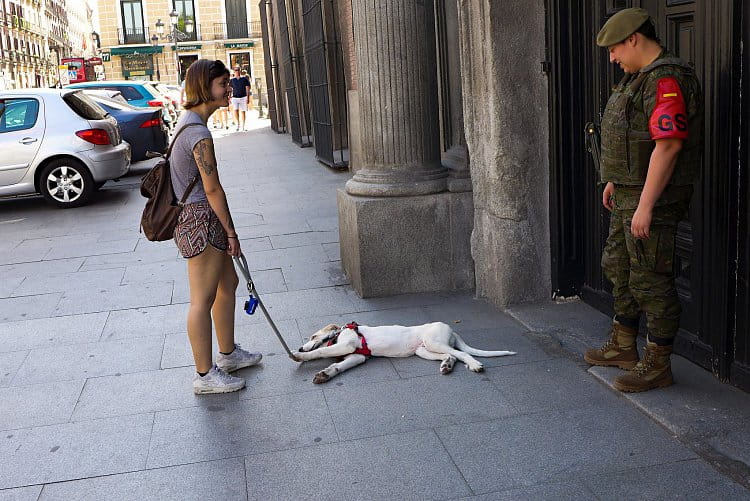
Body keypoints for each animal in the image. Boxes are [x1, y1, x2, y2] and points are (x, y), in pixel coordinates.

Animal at [290, 320, 516, 382]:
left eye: (312, 337)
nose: (300, 346)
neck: (339, 334)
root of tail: (452, 329)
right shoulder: (356, 357)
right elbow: (339, 366)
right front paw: (326, 374)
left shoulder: (348, 345)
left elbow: (319, 353)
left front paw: (300, 355)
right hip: (423, 351)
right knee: (451, 355)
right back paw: (447, 365)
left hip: (433, 342)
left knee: (462, 354)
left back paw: (475, 364)